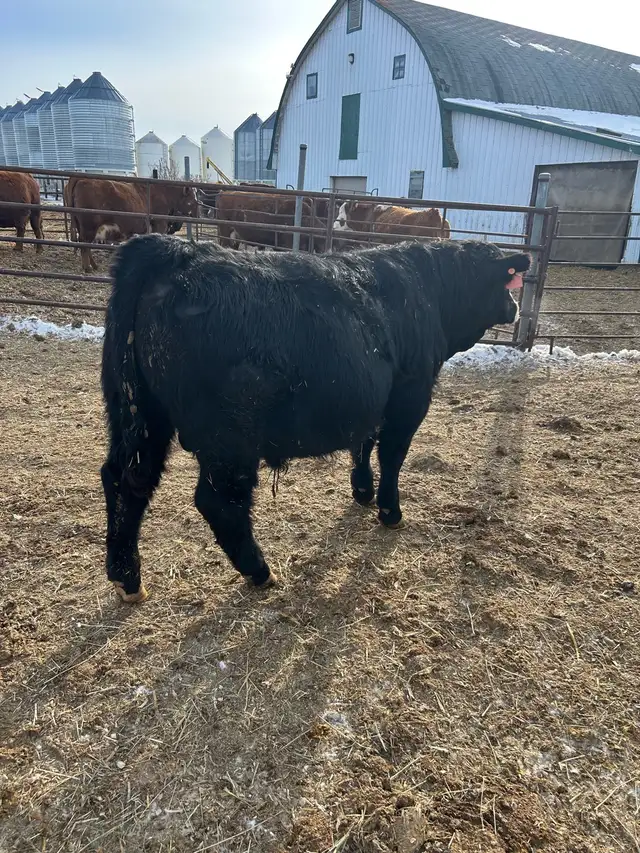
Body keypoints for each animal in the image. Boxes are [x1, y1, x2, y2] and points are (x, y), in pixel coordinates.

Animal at [66, 177, 198, 272]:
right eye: (192, 199)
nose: (197, 213)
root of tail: (81, 179)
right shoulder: (160, 224)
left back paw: (93, 266)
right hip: (89, 226)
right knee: (84, 244)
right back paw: (87, 268)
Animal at [100, 234, 530, 602]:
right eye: (507, 280)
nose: (515, 308)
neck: (428, 291)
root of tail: (176, 251)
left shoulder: (368, 400)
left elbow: (364, 443)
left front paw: (362, 492)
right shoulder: (410, 395)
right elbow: (392, 455)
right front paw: (390, 510)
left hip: (139, 417)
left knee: (126, 481)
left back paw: (127, 578)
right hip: (228, 439)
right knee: (218, 501)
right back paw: (258, 570)